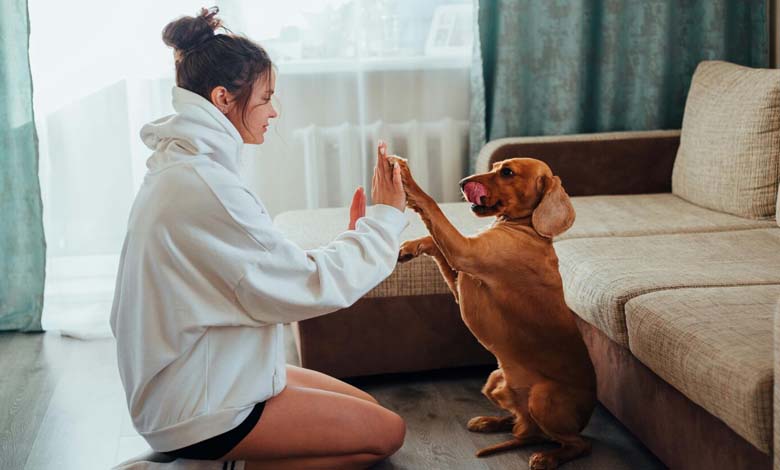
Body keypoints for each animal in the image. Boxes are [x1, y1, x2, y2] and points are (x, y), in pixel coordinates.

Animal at [390, 157, 596, 470]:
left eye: (507, 172)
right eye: (495, 165)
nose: (463, 183)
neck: (527, 228)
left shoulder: (465, 252)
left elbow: (432, 207)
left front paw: (407, 180)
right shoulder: (460, 276)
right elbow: (434, 241)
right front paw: (410, 248)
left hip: (543, 397)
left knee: (577, 444)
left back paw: (548, 457)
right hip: (495, 380)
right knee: (522, 424)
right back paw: (490, 422)